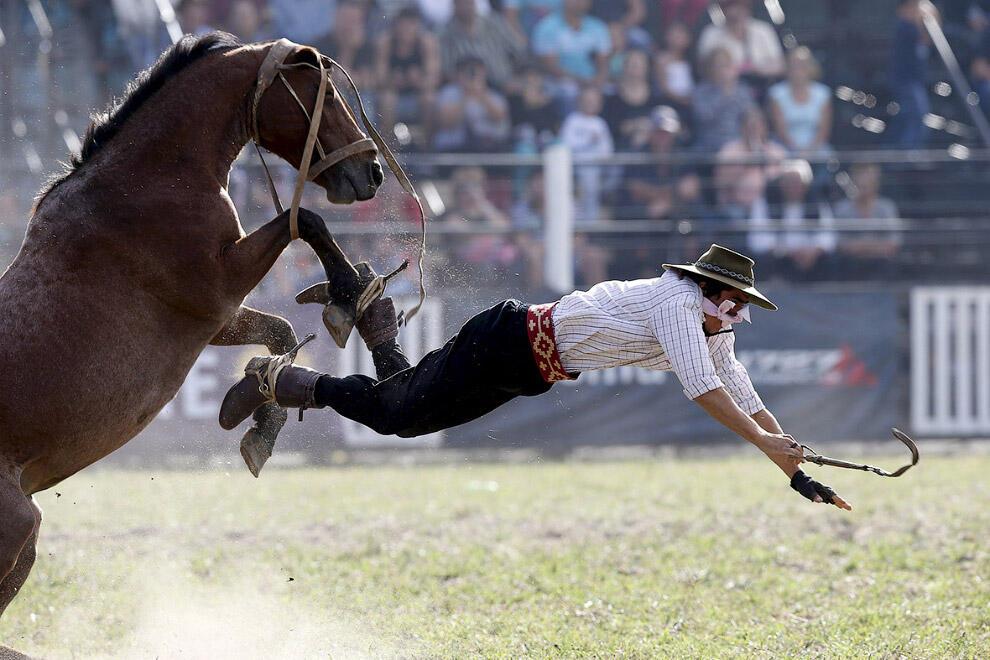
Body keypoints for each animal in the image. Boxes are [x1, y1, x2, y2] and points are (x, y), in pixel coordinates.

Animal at [0, 33, 384, 632]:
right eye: (321, 94)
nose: (372, 171)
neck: (148, 180)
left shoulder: (215, 319)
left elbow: (279, 333)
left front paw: (257, 422)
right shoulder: (216, 287)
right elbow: (303, 221)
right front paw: (348, 293)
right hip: (15, 528)